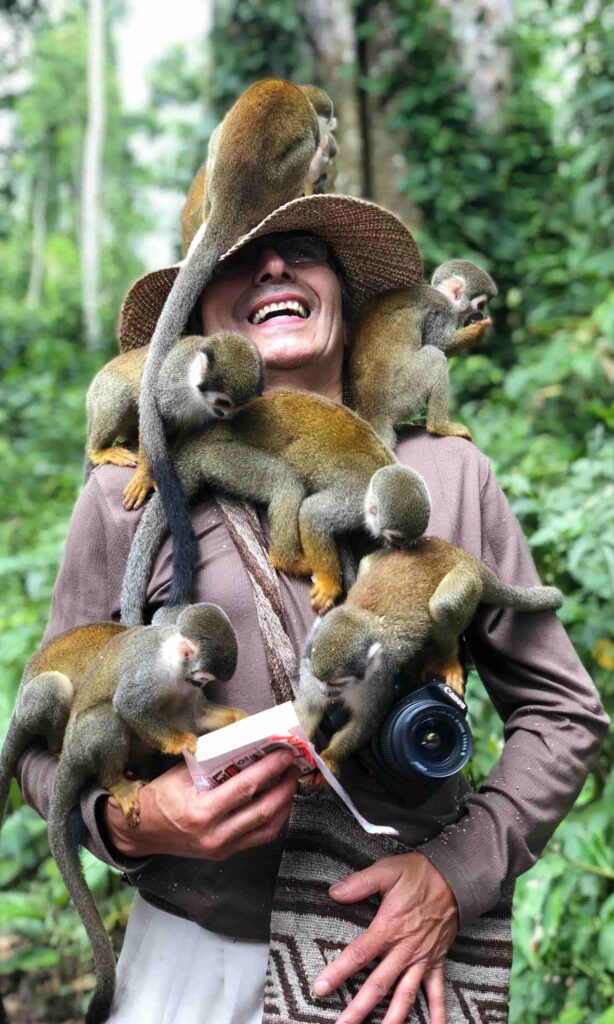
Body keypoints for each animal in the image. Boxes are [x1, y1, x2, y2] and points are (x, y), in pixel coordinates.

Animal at [85, 331, 264, 510]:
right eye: (224, 403)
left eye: (240, 405)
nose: (227, 415)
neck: (195, 393)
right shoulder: (168, 383)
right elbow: (150, 419)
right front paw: (145, 477)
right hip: (102, 388)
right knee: (117, 397)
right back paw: (97, 451)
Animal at [120, 390, 399, 626]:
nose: (393, 547)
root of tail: (198, 441)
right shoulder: (355, 497)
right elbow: (312, 514)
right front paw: (329, 583)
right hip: (222, 459)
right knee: (287, 482)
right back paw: (287, 559)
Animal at [294, 464, 563, 775]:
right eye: (320, 678)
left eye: (336, 683)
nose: (326, 692)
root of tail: (460, 555)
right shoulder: (309, 661)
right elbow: (307, 708)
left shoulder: (378, 679)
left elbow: (364, 724)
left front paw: (329, 759)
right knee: (369, 563)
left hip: (465, 578)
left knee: (442, 606)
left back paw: (447, 659)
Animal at [350, 259, 498, 448]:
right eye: (480, 305)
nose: (480, 314)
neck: (440, 293)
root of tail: (374, 416)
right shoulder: (441, 309)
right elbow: (440, 345)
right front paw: (478, 332)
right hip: (399, 399)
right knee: (435, 355)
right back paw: (440, 426)